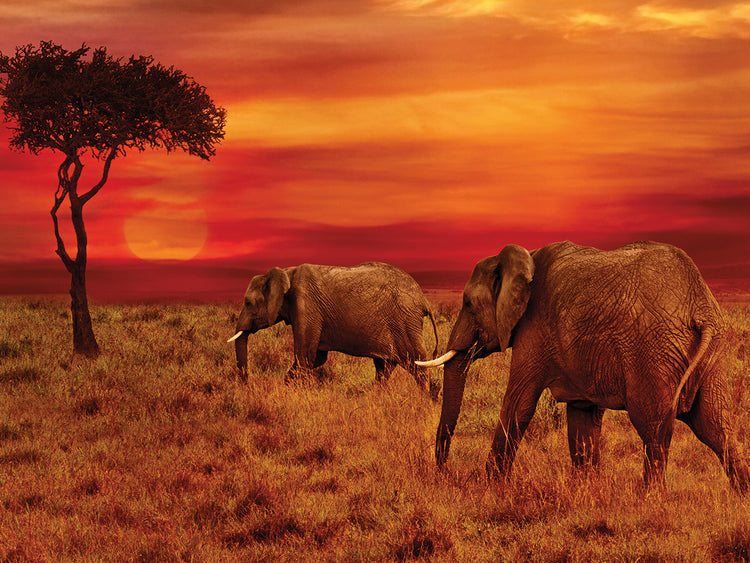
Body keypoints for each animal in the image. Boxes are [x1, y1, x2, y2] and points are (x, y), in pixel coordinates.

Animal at [228, 262, 438, 389]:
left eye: (248, 303)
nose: (246, 384)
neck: (286, 272)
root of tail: (423, 300)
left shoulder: (306, 305)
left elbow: (305, 355)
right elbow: (316, 358)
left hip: (405, 321)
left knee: (417, 363)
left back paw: (424, 401)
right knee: (384, 367)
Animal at [418, 241, 750, 491]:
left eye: (468, 304)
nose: (447, 473)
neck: (525, 258)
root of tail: (699, 305)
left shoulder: (534, 330)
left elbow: (519, 404)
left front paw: (490, 487)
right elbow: (582, 418)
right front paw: (588, 490)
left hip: (654, 349)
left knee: (654, 427)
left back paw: (649, 499)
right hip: (712, 352)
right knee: (716, 426)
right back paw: (741, 496)